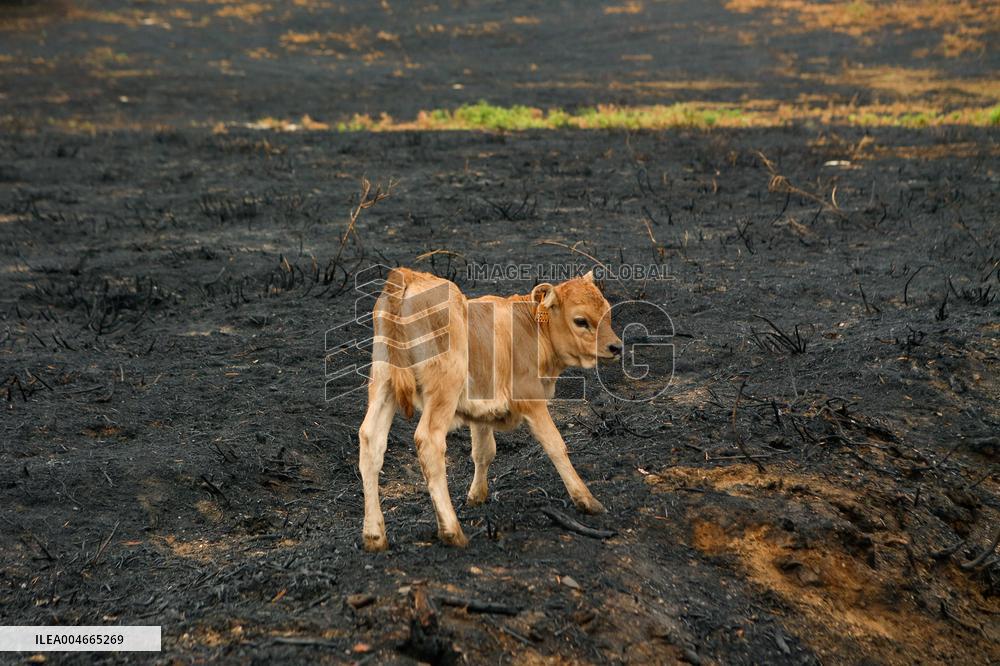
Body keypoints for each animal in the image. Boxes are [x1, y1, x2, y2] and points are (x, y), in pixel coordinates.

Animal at [358, 267, 622, 551]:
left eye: (607, 312)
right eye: (580, 321)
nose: (616, 347)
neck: (531, 329)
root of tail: (409, 276)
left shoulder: (481, 409)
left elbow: (483, 451)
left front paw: (476, 496)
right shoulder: (530, 398)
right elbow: (555, 445)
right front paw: (586, 500)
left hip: (383, 383)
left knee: (370, 440)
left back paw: (374, 535)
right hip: (443, 388)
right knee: (429, 441)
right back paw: (451, 531)